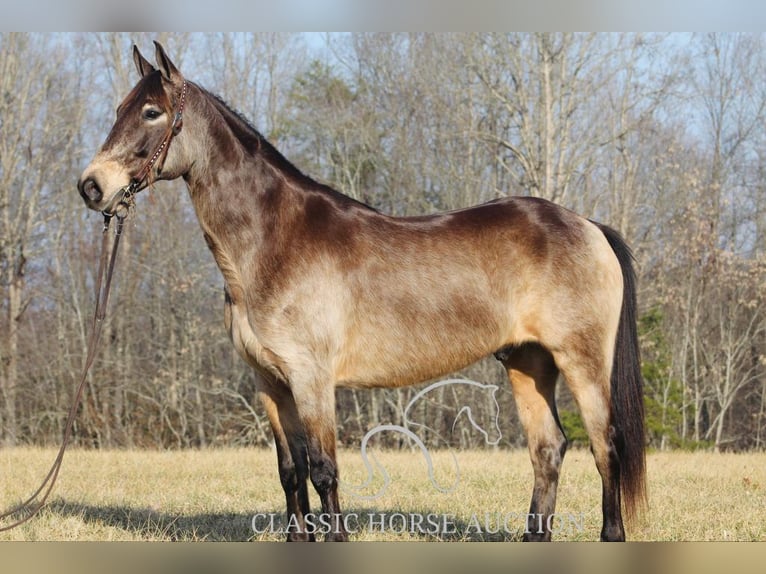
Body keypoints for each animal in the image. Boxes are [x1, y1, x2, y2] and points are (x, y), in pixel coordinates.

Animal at [78, 42, 644, 544]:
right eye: (118, 108)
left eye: (152, 112)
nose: (91, 186)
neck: (275, 242)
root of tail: (588, 226)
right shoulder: (269, 383)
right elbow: (291, 473)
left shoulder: (311, 379)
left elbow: (324, 471)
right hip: (528, 361)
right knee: (548, 451)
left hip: (582, 362)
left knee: (606, 448)